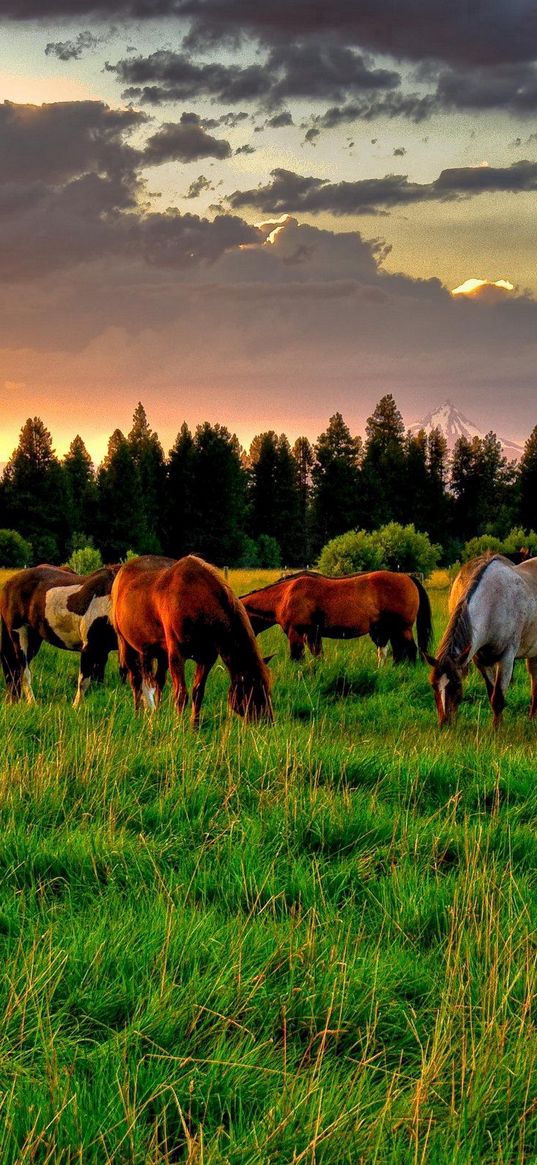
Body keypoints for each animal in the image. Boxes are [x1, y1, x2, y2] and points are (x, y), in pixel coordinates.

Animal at [0, 561, 120, 703]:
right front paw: (77, 706)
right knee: (23, 671)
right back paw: (33, 704)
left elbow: (97, 682)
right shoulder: (89, 648)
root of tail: (8, 584)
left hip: (33, 640)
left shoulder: (103, 651)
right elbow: (83, 682)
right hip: (20, 635)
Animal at [111, 554, 273, 726]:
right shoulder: (177, 655)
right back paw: (137, 715)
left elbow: (198, 692)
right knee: (135, 681)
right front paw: (178, 726)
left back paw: (157, 714)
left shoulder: (206, 658)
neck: (196, 602)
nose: (269, 722)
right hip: (126, 645)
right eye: (255, 687)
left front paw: (194, 726)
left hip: (159, 654)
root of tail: (122, 571)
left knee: (158, 682)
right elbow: (181, 694)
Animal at [241, 570, 433, 666]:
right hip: (391, 630)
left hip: (402, 629)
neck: (285, 596)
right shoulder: (313, 636)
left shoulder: (296, 634)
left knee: (410, 651)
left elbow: (297, 659)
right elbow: (318, 657)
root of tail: (407, 577)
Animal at [421, 549, 535, 722]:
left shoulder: (507, 657)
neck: (493, 601)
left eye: (457, 684)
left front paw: (498, 728)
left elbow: (498, 699)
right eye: (433, 685)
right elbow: (491, 694)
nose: (445, 723)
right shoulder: (479, 659)